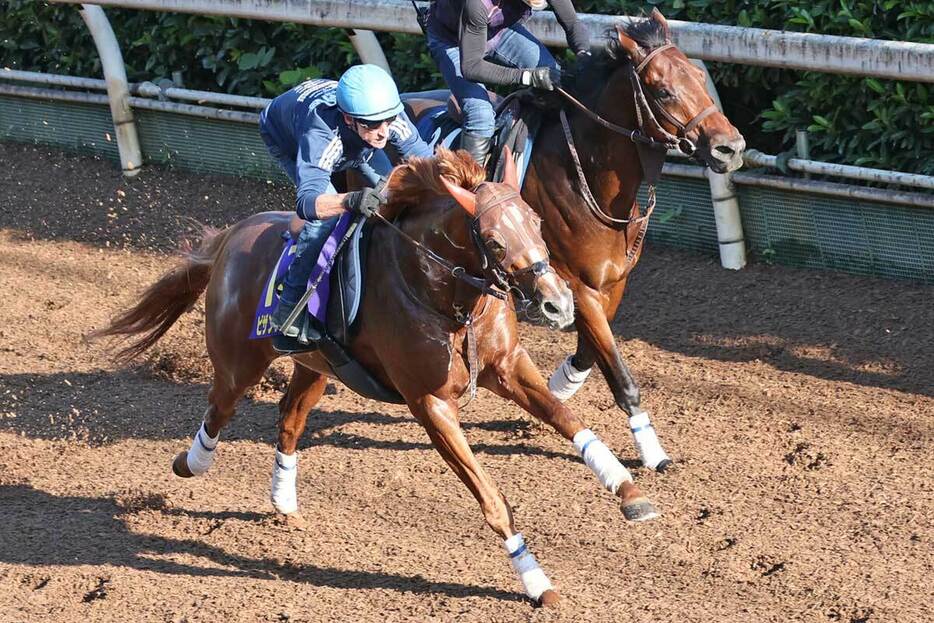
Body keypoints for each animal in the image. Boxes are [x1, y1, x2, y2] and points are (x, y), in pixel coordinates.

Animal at [97, 149, 660, 608]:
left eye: (538, 223)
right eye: (495, 243)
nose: (559, 302)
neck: (440, 292)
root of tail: (232, 236)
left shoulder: (508, 366)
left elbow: (570, 420)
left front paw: (628, 489)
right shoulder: (430, 403)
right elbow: (492, 500)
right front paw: (537, 582)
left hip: (315, 366)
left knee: (289, 418)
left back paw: (284, 502)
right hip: (240, 360)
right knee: (220, 406)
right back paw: (192, 462)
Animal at [410, 9, 744, 470]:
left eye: (698, 74)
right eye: (662, 91)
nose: (731, 147)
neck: (583, 173)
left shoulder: (613, 281)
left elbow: (592, 349)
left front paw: (559, 385)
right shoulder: (575, 283)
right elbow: (620, 372)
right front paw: (652, 451)